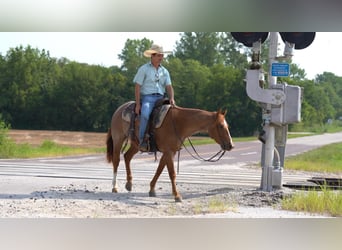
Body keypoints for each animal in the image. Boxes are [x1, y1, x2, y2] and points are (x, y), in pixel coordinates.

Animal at [106, 101, 235, 201]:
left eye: (227, 126)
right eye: (221, 126)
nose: (231, 145)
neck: (179, 123)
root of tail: (119, 109)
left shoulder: (170, 152)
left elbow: (159, 170)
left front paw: (152, 189)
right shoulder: (168, 152)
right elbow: (172, 173)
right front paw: (177, 196)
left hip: (136, 145)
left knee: (127, 157)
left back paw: (129, 184)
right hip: (118, 140)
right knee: (116, 161)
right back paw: (114, 187)